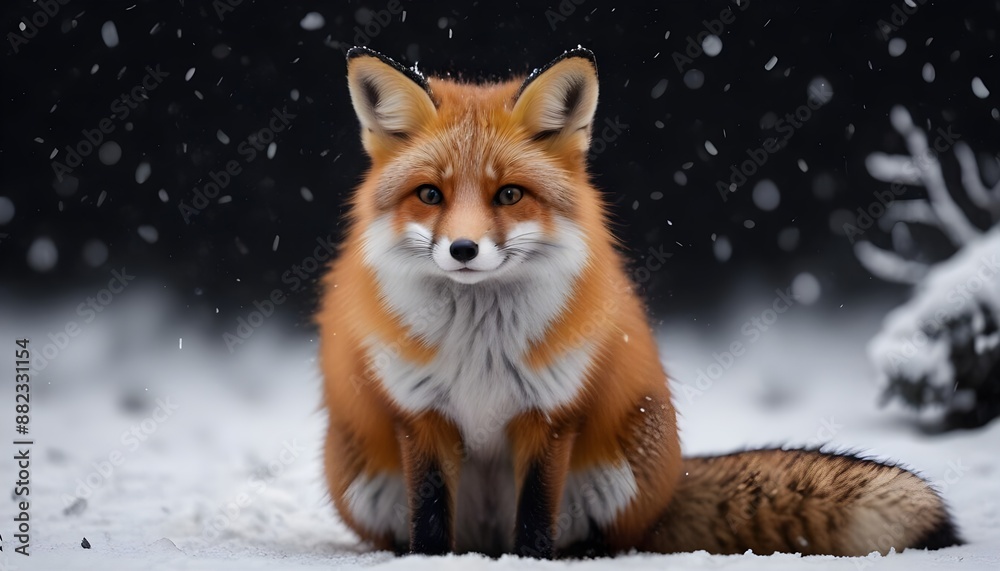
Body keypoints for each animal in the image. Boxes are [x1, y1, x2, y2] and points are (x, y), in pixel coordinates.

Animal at [316, 46, 961, 558]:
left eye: (509, 195)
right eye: (430, 195)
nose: (464, 249)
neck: (478, 349)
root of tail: (673, 483)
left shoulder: (550, 417)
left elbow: (535, 523)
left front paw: (531, 563)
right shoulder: (422, 417)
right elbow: (429, 524)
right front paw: (429, 562)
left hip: (621, 466)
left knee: (603, 541)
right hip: (360, 477)